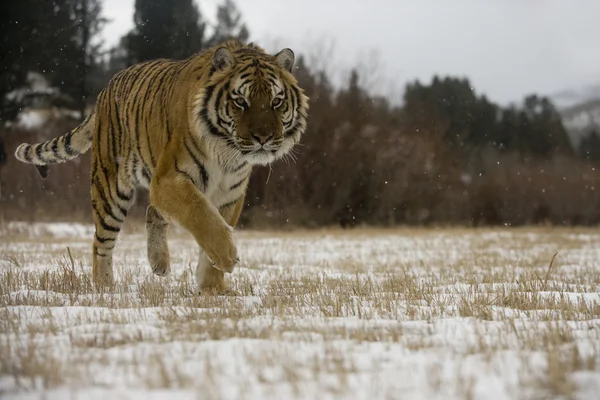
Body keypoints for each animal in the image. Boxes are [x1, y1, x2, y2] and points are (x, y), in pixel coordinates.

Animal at [14, 41, 310, 294]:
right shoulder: (170, 179)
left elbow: (213, 226)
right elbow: (202, 216)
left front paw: (213, 289)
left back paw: (159, 264)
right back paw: (105, 287)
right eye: (241, 102)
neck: (228, 153)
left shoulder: (230, 193)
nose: (264, 138)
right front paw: (227, 257)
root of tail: (104, 91)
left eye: (276, 101)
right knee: (101, 241)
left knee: (151, 212)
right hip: (110, 188)